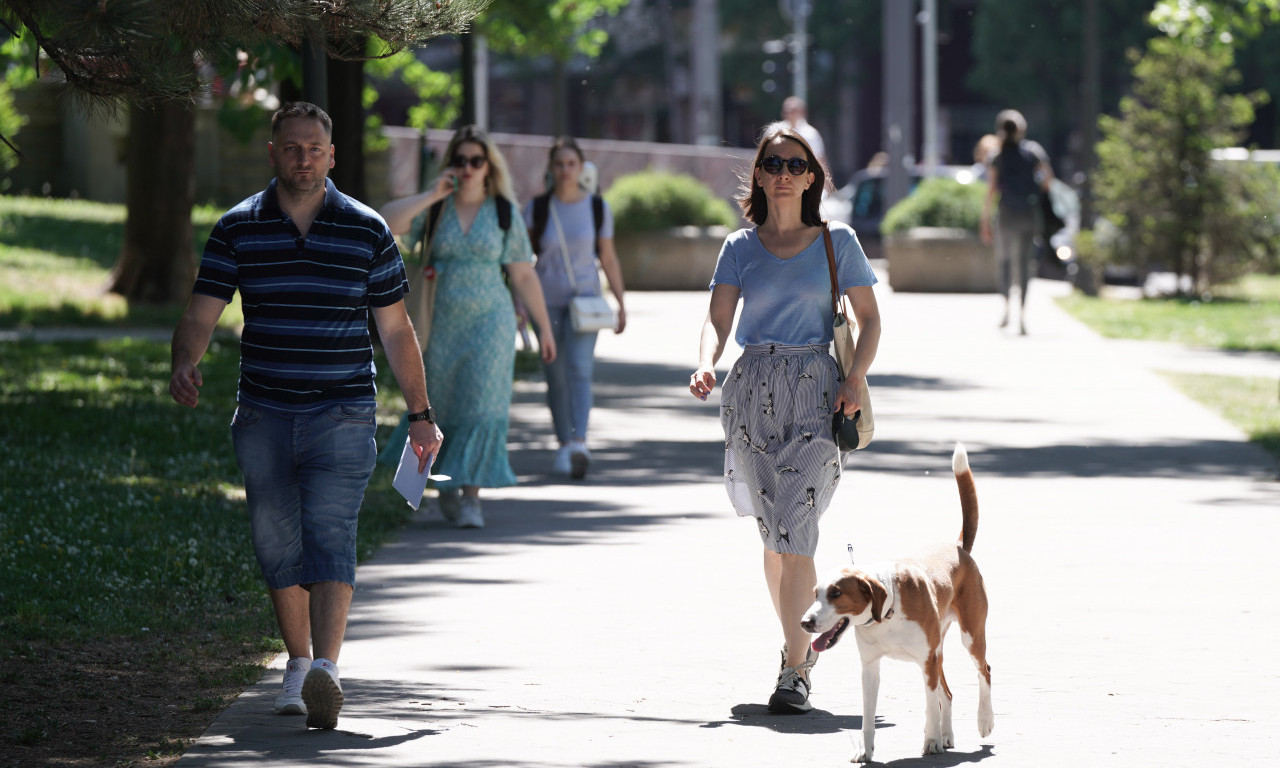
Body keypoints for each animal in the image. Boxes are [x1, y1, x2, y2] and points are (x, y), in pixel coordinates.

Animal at [798, 442, 988, 762]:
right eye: (815, 594)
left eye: (836, 594)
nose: (805, 622)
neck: (887, 613)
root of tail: (959, 549)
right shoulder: (870, 668)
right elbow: (867, 717)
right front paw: (866, 750)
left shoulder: (926, 662)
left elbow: (930, 707)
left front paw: (931, 741)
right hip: (939, 653)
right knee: (947, 694)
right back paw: (948, 735)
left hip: (970, 637)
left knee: (983, 671)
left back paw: (984, 722)